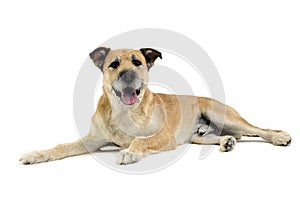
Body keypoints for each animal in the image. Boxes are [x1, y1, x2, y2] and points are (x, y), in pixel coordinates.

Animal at [19, 47, 292, 165]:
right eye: (113, 64)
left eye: (138, 62)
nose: (128, 75)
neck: (124, 112)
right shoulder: (92, 140)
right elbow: (62, 147)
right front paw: (36, 154)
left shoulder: (165, 136)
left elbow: (141, 140)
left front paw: (130, 151)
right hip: (197, 136)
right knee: (215, 136)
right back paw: (226, 141)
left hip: (222, 114)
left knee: (257, 129)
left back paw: (279, 137)